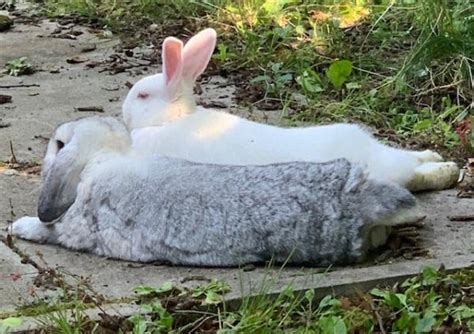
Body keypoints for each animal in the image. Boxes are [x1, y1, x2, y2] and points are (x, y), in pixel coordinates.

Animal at [10, 117, 418, 266]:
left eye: (59, 144)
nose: (49, 148)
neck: (101, 159)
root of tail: (359, 199)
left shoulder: (77, 227)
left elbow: (50, 230)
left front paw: (18, 227)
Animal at [122, 27, 460, 192]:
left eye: (142, 95)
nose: (124, 113)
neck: (171, 121)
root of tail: (370, 152)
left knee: (412, 175)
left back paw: (446, 170)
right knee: (413, 165)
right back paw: (440, 161)